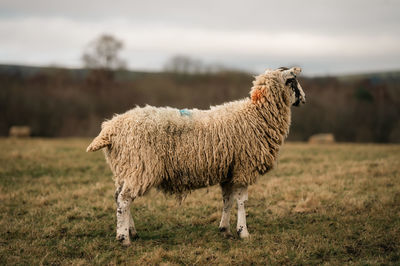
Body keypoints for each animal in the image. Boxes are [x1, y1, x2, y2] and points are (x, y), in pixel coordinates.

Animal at [87, 66, 306, 245]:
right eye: (292, 81)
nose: (304, 99)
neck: (256, 114)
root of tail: (111, 127)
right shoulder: (244, 168)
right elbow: (242, 201)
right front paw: (243, 232)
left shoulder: (229, 170)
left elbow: (227, 200)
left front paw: (225, 229)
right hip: (140, 166)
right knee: (124, 199)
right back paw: (123, 238)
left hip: (125, 168)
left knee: (118, 197)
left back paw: (131, 231)